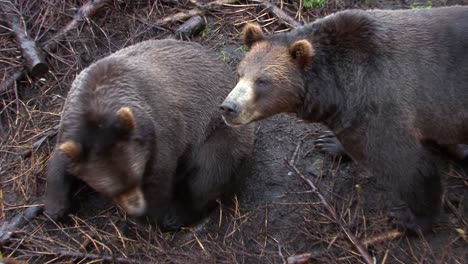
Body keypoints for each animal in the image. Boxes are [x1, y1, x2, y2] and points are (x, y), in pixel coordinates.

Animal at [45, 39, 254, 231]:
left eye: (137, 178)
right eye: (113, 190)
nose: (137, 208)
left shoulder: (160, 130)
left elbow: (161, 177)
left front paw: (151, 216)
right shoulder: (72, 126)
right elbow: (59, 161)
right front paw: (56, 207)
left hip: (219, 130)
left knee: (209, 172)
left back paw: (177, 214)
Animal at [219, 6, 468, 233]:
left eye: (262, 81)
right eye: (240, 73)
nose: (228, 108)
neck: (336, 88)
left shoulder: (379, 104)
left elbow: (407, 165)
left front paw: (411, 219)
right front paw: (329, 143)